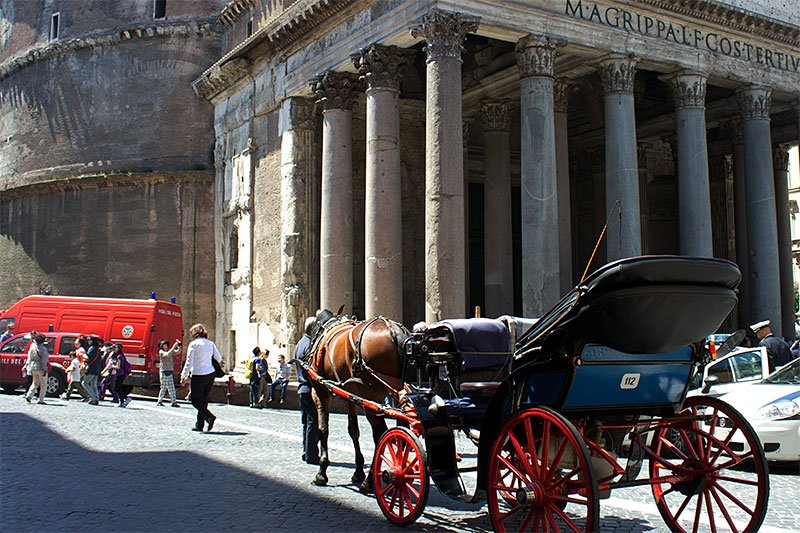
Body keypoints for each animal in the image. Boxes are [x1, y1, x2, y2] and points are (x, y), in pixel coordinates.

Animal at [306, 314, 406, 488]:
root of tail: (394, 331)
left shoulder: (319, 391)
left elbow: (323, 428)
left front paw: (321, 472)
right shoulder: (351, 397)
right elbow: (353, 430)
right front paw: (358, 471)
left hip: (372, 397)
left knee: (380, 434)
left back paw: (370, 481)